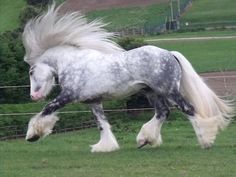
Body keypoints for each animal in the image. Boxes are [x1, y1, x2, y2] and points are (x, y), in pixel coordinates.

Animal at [22, 3, 234, 152]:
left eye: (31, 72)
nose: (33, 96)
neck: (72, 63)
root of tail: (169, 54)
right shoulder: (93, 101)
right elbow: (102, 124)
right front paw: (105, 147)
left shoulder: (68, 95)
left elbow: (47, 109)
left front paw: (32, 134)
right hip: (152, 92)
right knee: (163, 112)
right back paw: (144, 139)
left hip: (168, 91)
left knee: (188, 109)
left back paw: (205, 141)